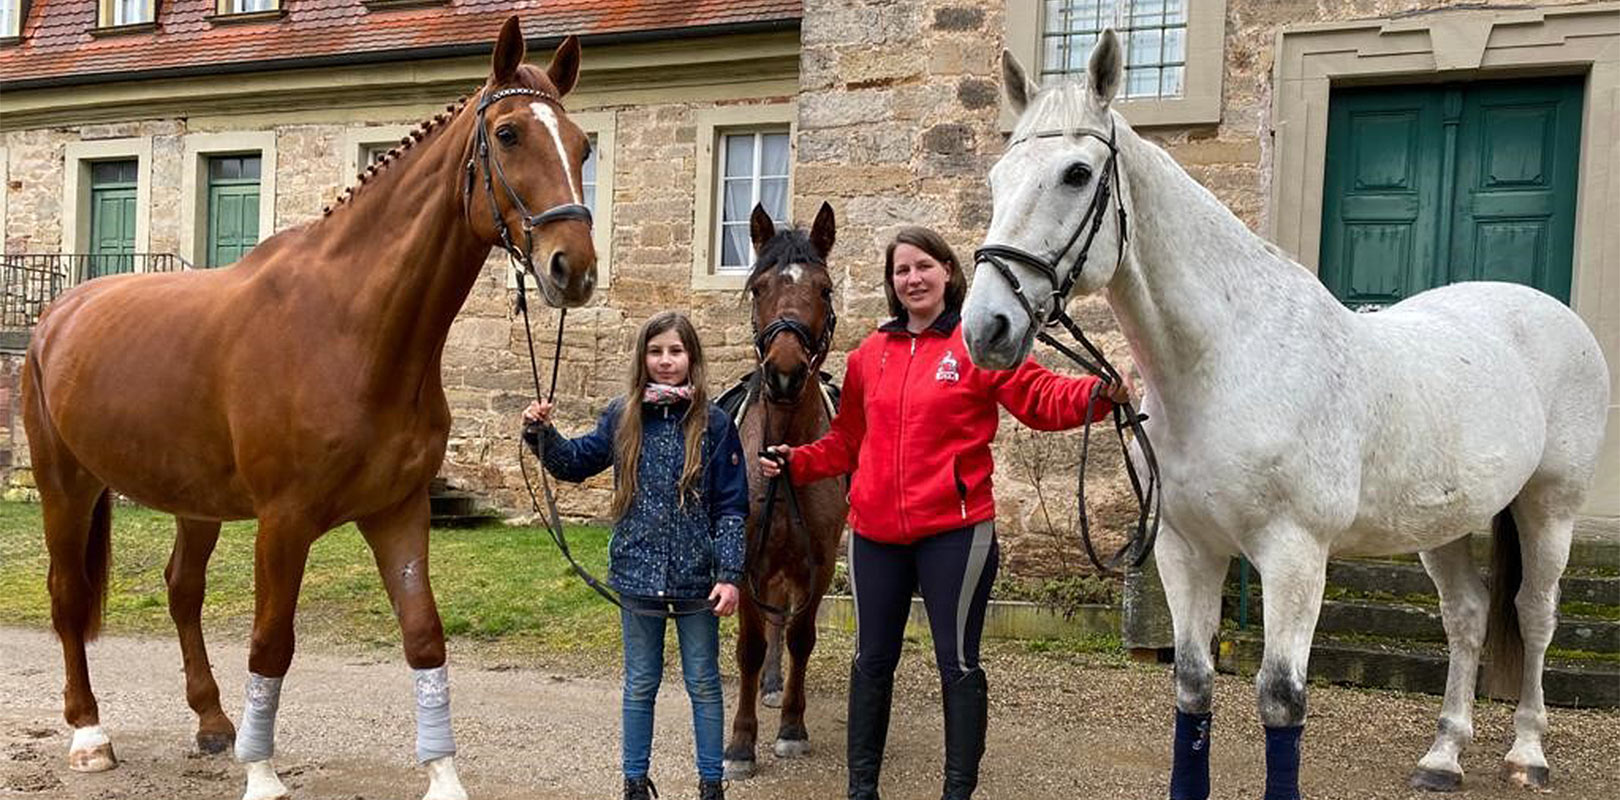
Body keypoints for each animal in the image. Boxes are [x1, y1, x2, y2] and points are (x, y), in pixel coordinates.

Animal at [22, 18, 596, 800]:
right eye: (508, 135)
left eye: (583, 146)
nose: (575, 267)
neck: (351, 329)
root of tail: (59, 314)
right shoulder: (283, 522)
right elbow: (271, 642)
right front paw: (263, 775)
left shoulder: (399, 511)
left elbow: (424, 636)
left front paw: (444, 777)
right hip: (66, 485)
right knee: (68, 594)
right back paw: (88, 733)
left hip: (194, 501)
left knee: (181, 590)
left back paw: (213, 723)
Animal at [959, 31, 1607, 800]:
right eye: (998, 176)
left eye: (1077, 173)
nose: (985, 328)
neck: (1230, 363)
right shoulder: (1186, 549)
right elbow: (1193, 686)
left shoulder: (1294, 553)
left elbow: (1280, 698)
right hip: (1445, 522)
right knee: (1468, 615)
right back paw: (1443, 755)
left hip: (1550, 505)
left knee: (1535, 614)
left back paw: (1528, 752)